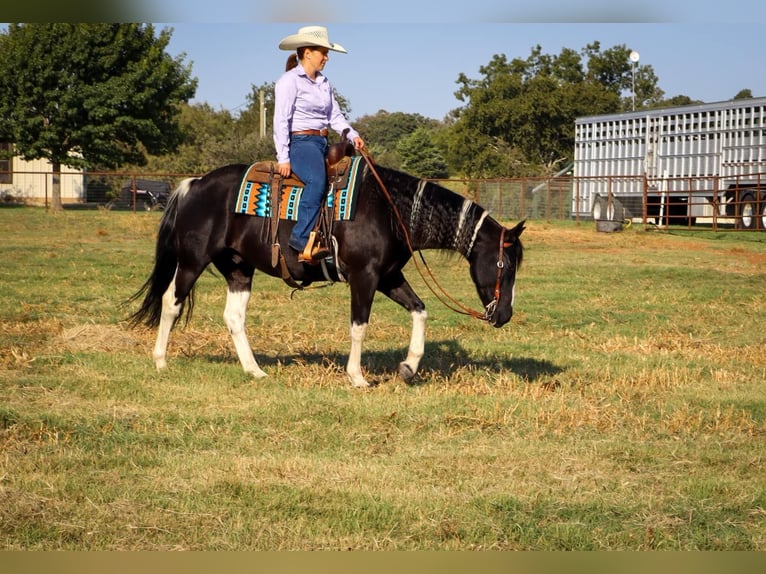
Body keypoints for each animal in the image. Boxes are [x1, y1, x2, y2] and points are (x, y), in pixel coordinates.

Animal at [127, 157, 525, 388]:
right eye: (504, 264)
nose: (504, 314)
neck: (391, 210)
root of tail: (193, 185)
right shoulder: (365, 277)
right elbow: (359, 327)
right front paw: (357, 377)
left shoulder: (388, 276)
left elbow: (420, 311)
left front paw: (408, 367)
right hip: (193, 261)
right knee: (171, 302)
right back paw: (161, 361)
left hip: (238, 268)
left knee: (234, 317)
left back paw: (254, 370)